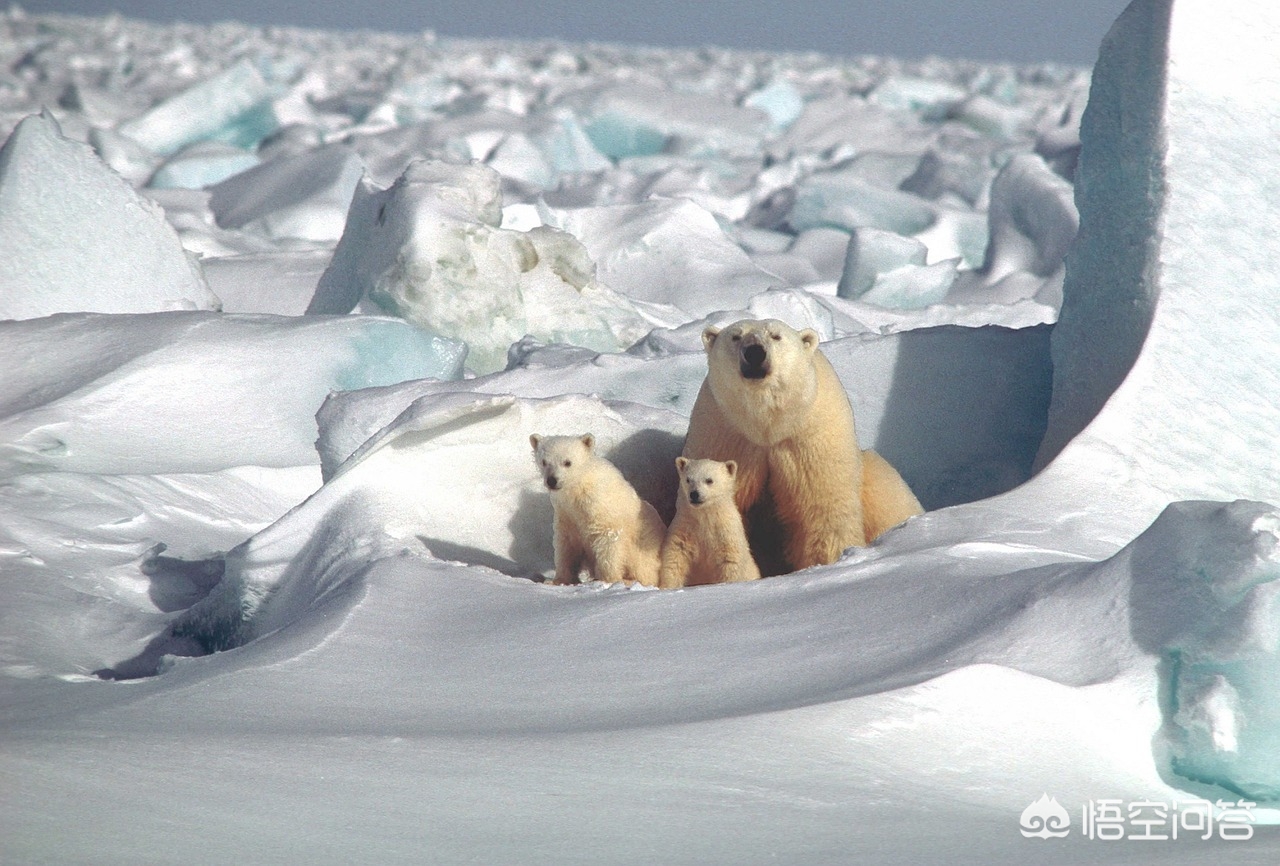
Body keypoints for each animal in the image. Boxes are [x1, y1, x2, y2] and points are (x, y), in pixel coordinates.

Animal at [532, 432, 665, 588]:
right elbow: (567, 543)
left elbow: (609, 539)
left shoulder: (601, 507)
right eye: (544, 462)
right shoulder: (565, 512)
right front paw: (557, 580)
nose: (552, 480)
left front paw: (606, 580)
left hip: (644, 549)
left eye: (567, 462)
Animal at [660, 452, 757, 588]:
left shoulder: (726, 532)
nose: (694, 494)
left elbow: (730, 560)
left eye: (709, 480)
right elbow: (675, 555)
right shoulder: (684, 528)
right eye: (688, 479)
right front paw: (668, 586)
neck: (705, 517)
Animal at [686, 319, 926, 573]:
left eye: (776, 336)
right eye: (736, 336)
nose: (755, 353)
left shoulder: (808, 438)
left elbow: (821, 509)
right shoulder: (727, 436)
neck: (767, 425)